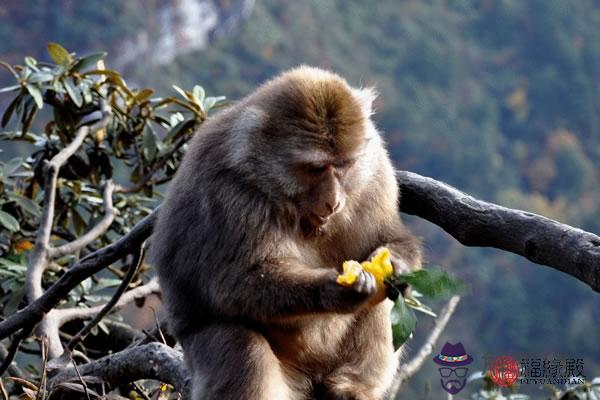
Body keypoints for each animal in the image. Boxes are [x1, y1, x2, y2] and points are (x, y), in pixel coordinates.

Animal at [150, 66, 422, 400]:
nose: (333, 202)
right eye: (315, 168)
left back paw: (351, 386)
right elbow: (238, 283)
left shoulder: (376, 173)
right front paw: (333, 290)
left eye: (343, 166)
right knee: (243, 347)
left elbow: (387, 238)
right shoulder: (229, 192)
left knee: (385, 300)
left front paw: (396, 263)